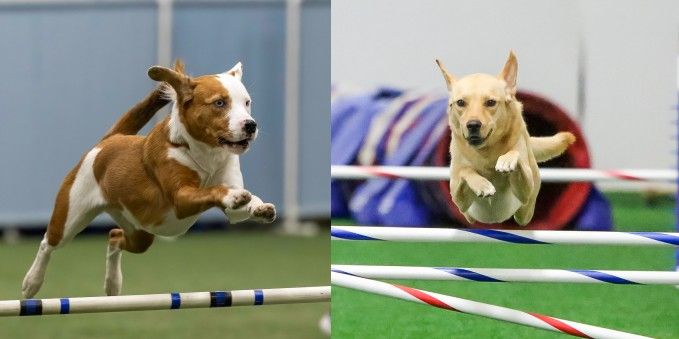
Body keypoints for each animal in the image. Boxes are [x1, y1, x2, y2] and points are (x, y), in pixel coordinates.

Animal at [22, 60, 274, 298]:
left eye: (247, 103)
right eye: (219, 103)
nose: (251, 125)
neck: (206, 154)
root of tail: (110, 140)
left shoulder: (231, 206)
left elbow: (243, 203)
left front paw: (260, 207)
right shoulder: (181, 198)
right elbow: (213, 190)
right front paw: (233, 196)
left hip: (138, 232)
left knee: (114, 236)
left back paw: (112, 283)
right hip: (70, 215)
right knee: (48, 243)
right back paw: (32, 282)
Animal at [438, 51, 576, 226]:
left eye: (491, 102)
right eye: (461, 102)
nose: (473, 124)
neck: (486, 152)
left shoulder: (525, 190)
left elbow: (515, 154)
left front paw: (506, 161)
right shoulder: (461, 202)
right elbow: (465, 170)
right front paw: (483, 185)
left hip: (526, 212)